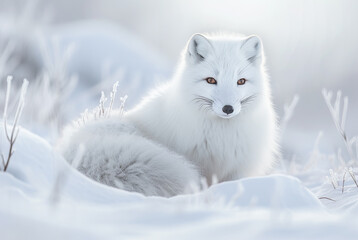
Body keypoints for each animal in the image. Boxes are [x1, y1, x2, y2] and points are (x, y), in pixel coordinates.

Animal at [57, 32, 278, 197]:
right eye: (211, 80)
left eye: (241, 81)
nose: (228, 108)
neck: (222, 135)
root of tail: (70, 146)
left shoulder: (237, 171)